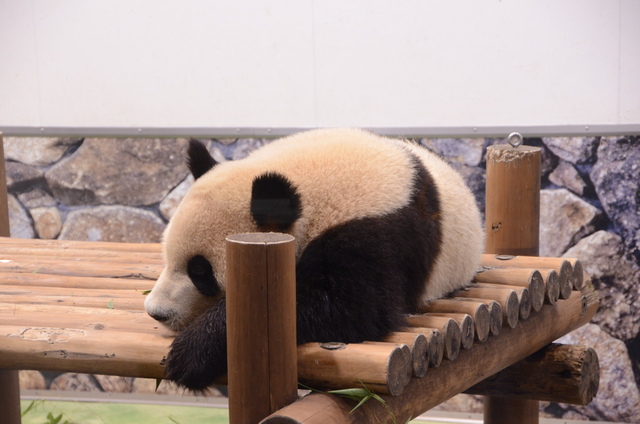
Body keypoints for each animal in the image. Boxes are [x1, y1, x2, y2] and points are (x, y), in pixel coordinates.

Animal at [145, 128, 482, 390]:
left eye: (200, 271)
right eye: (167, 255)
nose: (157, 312)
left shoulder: (376, 231)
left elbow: (352, 308)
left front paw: (191, 354)